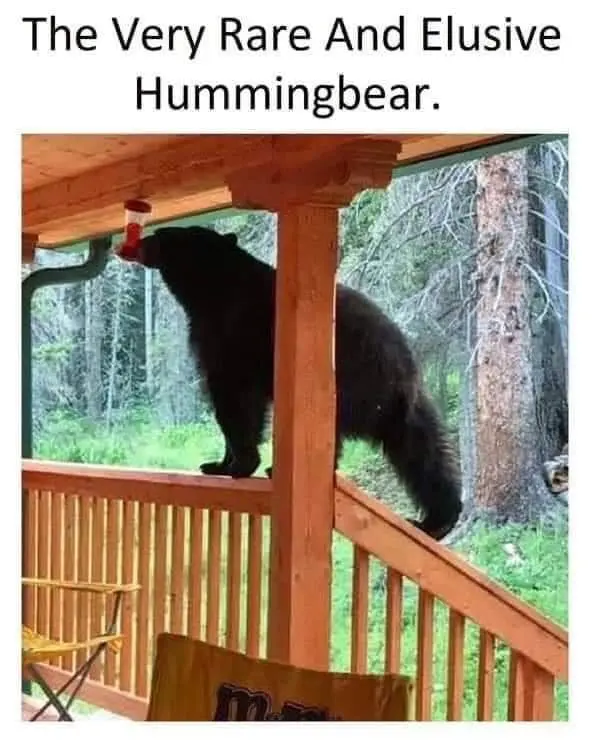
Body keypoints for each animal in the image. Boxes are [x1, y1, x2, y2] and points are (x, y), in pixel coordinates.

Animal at [120, 225, 462, 540]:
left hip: (346, 384)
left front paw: (235, 464)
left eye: (160, 236)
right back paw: (440, 518)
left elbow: (234, 400)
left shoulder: (229, 338)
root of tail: (401, 366)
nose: (137, 242)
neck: (208, 292)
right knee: (424, 451)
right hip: (406, 407)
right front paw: (221, 462)